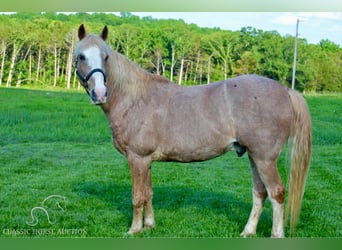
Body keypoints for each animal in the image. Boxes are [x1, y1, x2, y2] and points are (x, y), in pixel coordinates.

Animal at [75, 24, 312, 237]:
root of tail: (285, 90)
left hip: (265, 159)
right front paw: (149, 225)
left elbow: (138, 196)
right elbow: (149, 193)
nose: (100, 93)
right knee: (260, 193)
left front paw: (134, 230)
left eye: (106, 57)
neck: (136, 98)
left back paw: (275, 235)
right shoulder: (146, 161)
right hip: (254, 157)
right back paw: (248, 232)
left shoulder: (137, 158)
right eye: (81, 56)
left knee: (276, 193)